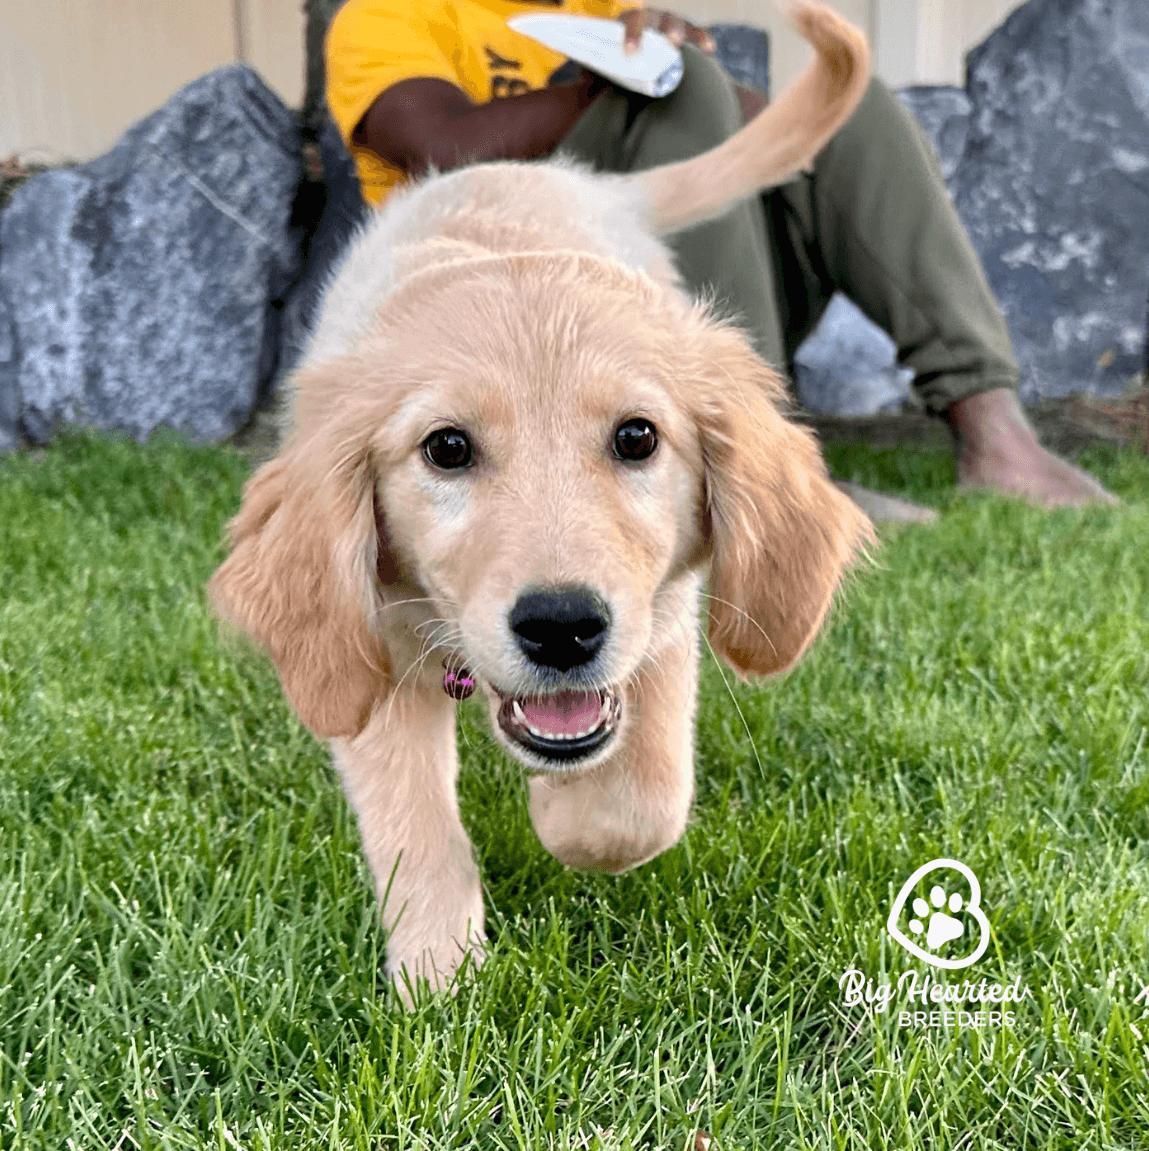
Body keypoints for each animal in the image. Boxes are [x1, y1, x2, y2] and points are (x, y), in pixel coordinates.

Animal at [209, 0, 870, 1008]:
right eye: (446, 449)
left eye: (637, 437)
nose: (561, 627)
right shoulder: (367, 641)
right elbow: (415, 827)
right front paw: (439, 980)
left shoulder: (662, 614)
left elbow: (638, 800)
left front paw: (565, 813)